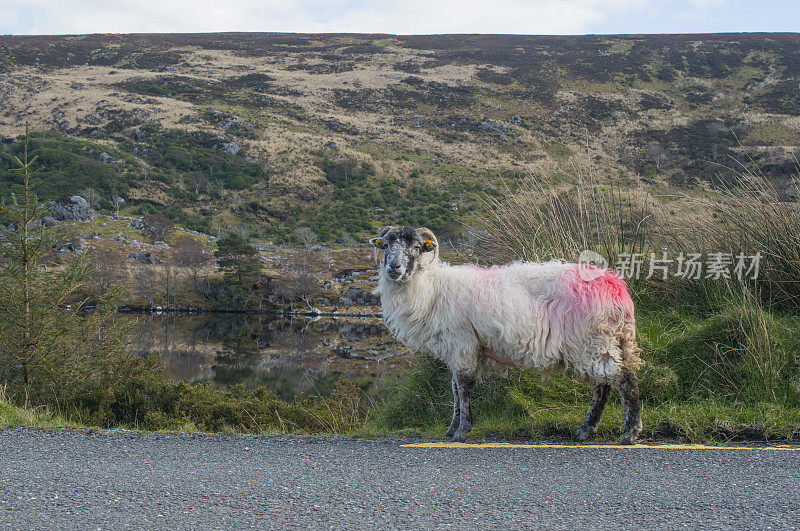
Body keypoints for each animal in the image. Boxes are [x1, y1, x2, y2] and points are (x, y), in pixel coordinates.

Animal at [370, 225, 644, 444]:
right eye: (385, 245)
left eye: (417, 247)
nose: (393, 269)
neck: (432, 288)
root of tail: (616, 287)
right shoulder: (459, 348)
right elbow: (455, 389)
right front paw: (451, 429)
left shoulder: (463, 343)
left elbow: (463, 388)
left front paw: (461, 431)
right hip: (602, 340)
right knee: (603, 385)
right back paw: (587, 430)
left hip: (594, 339)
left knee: (623, 380)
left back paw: (629, 433)